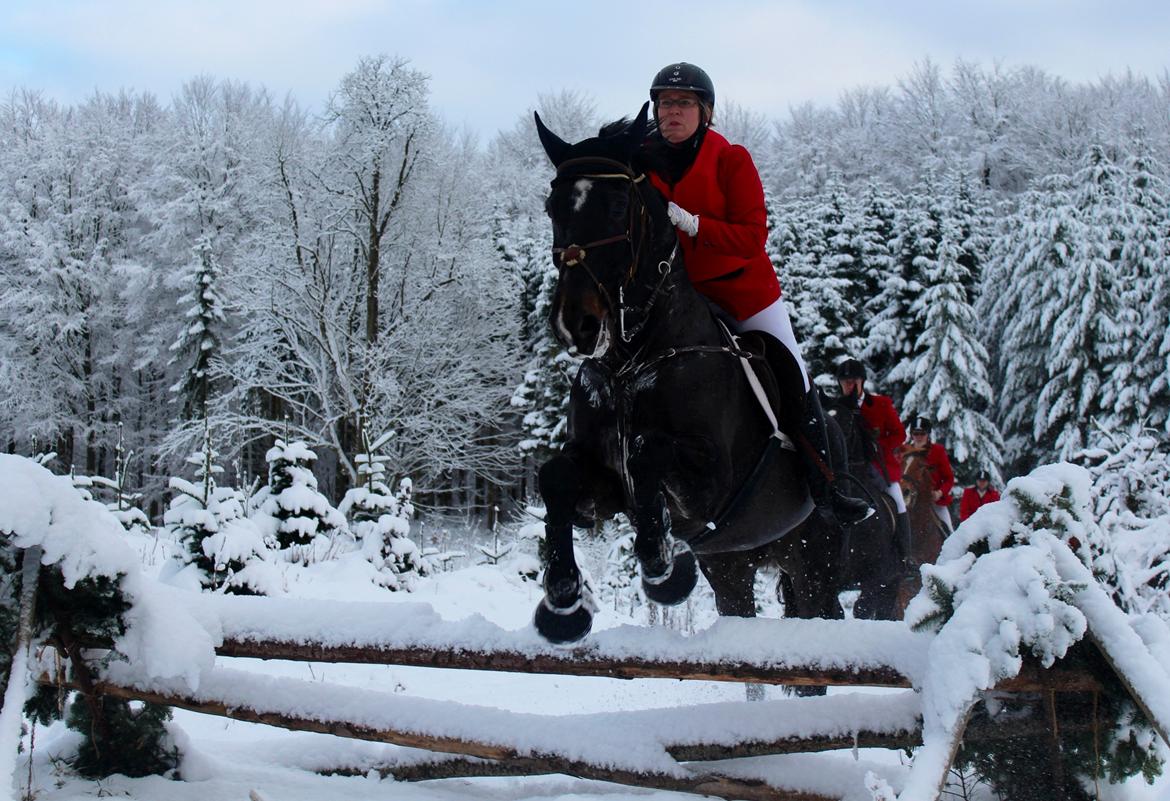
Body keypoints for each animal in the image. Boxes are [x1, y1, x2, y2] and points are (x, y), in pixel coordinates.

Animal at [531, 106, 842, 645]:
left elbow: (646, 451)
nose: (576, 325)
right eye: (553, 208)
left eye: (619, 205)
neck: (631, 359)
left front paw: (663, 568)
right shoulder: (603, 488)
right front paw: (564, 601)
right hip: (734, 562)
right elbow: (557, 478)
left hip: (815, 555)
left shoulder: (711, 485)